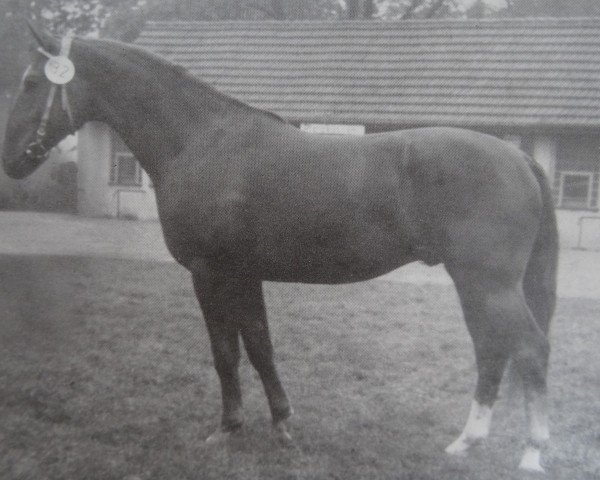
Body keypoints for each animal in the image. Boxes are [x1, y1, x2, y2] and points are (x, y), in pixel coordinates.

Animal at [3, 24, 556, 470]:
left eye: (31, 83)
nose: (10, 161)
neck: (202, 141)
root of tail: (517, 156)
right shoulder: (244, 275)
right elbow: (260, 347)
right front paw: (282, 425)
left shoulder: (210, 273)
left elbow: (226, 352)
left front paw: (228, 428)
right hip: (474, 283)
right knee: (492, 348)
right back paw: (466, 442)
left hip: (488, 283)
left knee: (528, 348)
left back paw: (532, 452)